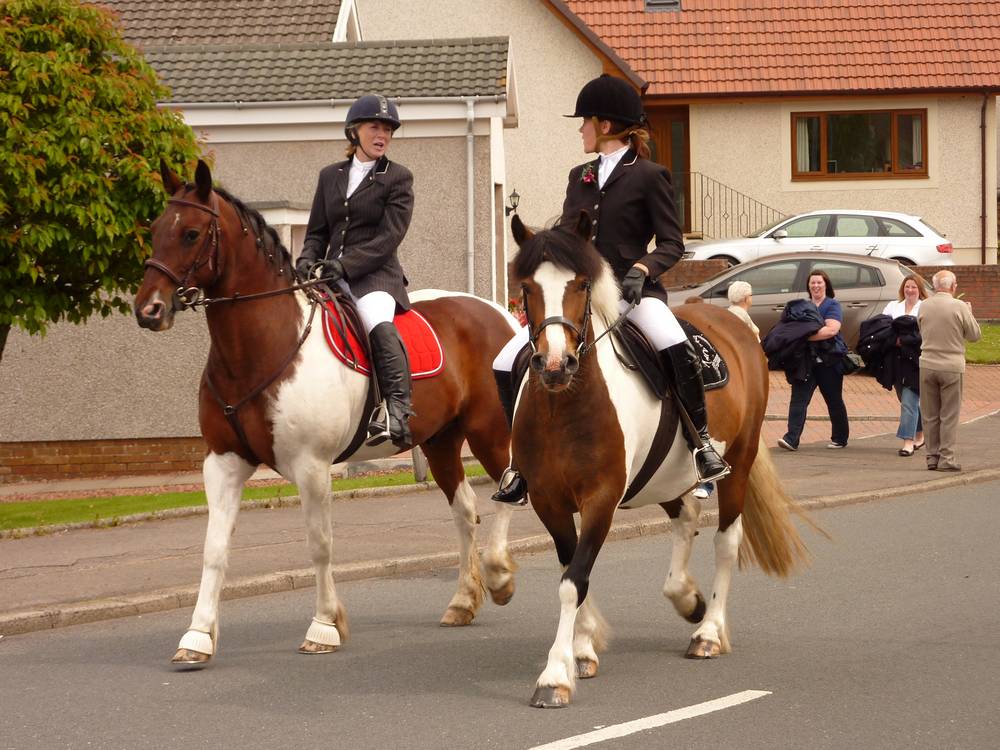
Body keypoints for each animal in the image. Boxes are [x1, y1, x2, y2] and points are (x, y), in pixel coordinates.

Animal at [133, 162, 520, 668]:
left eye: (192, 233)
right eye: (155, 230)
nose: (148, 309)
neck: (262, 345)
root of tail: (498, 312)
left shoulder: (312, 466)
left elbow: (319, 545)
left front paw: (323, 627)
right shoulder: (223, 461)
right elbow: (214, 549)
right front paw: (197, 637)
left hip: (488, 430)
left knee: (509, 488)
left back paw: (501, 576)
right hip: (440, 441)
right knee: (465, 509)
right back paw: (462, 601)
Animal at [508, 214, 812, 708]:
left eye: (581, 284)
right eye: (527, 287)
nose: (555, 365)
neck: (565, 404)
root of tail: (732, 317)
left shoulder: (602, 498)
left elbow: (575, 580)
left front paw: (554, 675)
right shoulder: (548, 501)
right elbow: (571, 571)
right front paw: (582, 650)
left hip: (739, 460)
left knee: (726, 540)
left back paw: (708, 632)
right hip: (664, 475)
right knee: (685, 516)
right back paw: (688, 599)